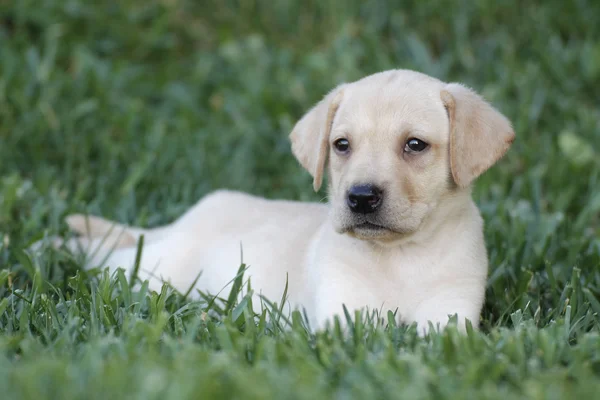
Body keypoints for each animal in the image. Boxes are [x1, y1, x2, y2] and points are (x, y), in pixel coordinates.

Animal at [57, 69, 516, 332]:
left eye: (415, 145)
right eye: (342, 145)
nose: (360, 197)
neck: (401, 255)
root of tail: (197, 212)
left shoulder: (450, 311)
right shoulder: (342, 311)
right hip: (157, 270)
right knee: (105, 256)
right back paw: (56, 246)